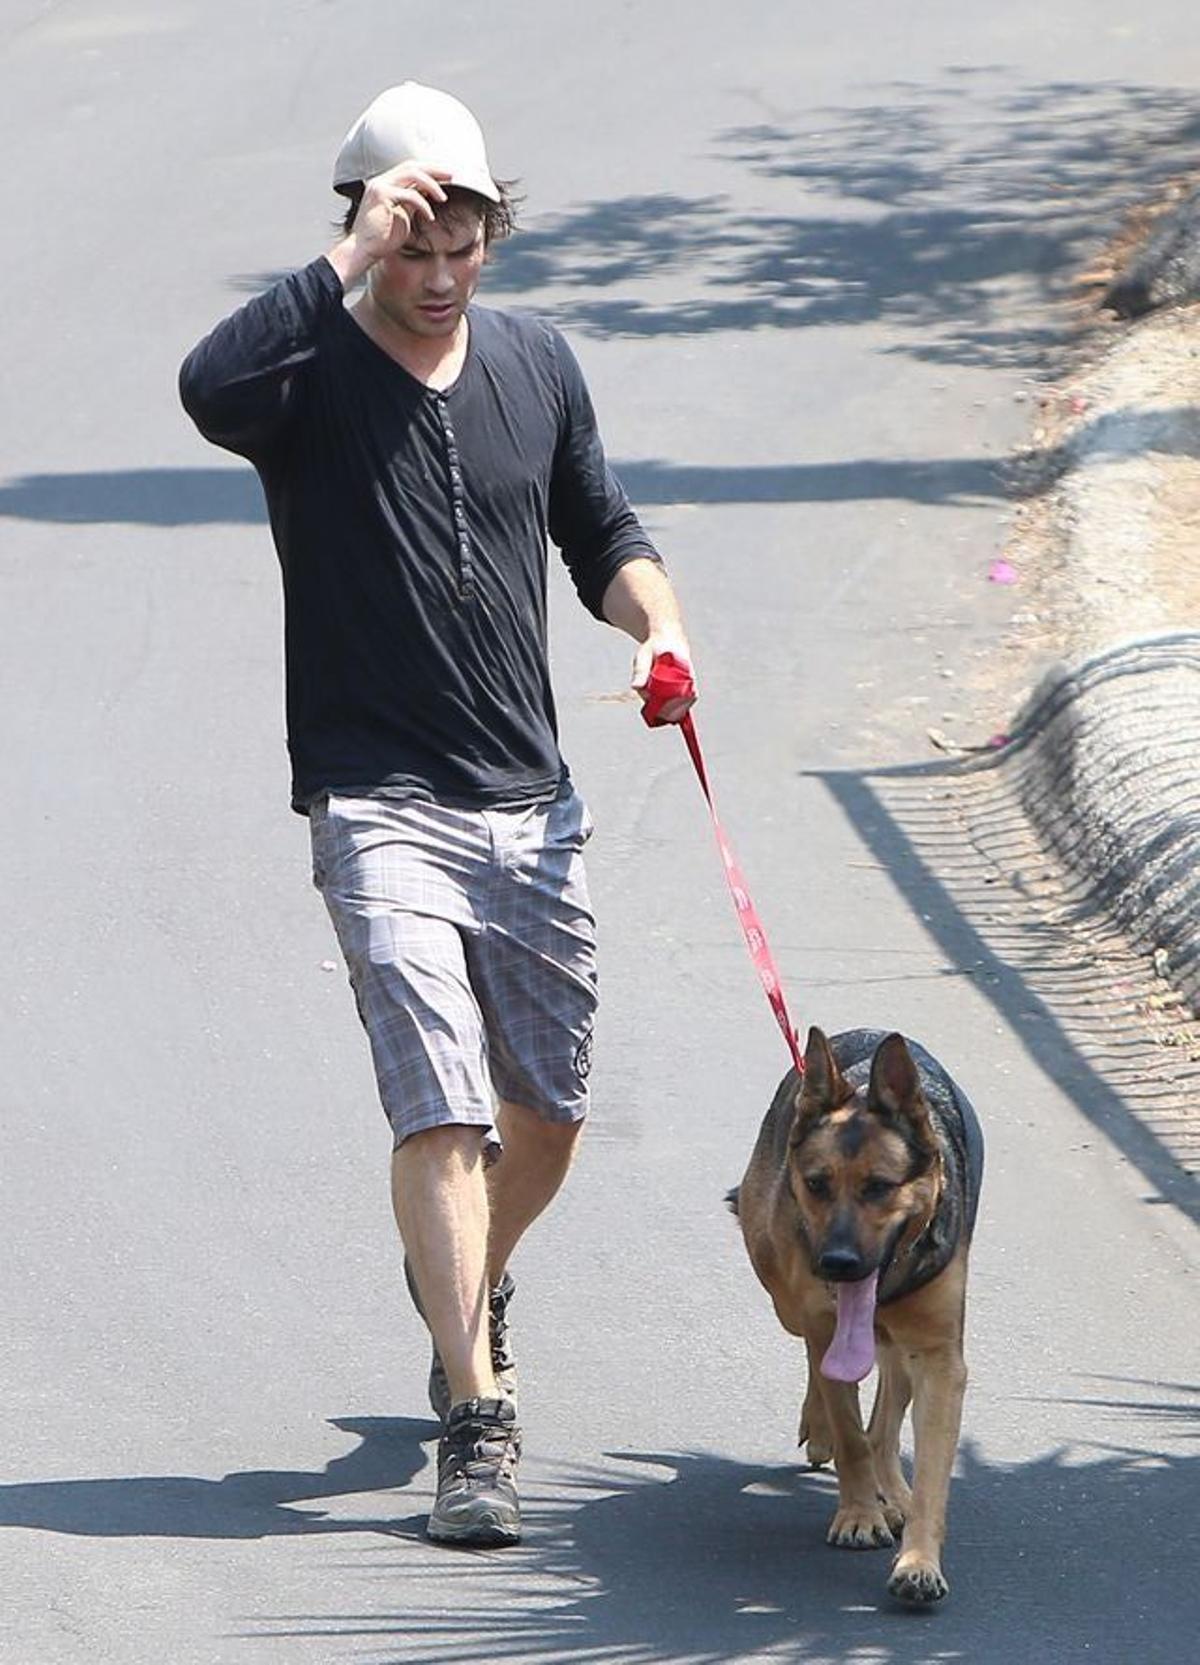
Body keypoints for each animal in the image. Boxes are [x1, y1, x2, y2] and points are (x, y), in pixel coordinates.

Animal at [728, 1018, 985, 1605]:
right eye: (817, 1184)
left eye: (880, 1187)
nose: (838, 1263)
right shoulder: (825, 1322)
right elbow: (849, 1432)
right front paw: (861, 1515)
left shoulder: (940, 1359)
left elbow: (929, 1470)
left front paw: (918, 1560)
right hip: (785, 1295)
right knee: (822, 1369)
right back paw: (827, 1435)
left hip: (900, 1344)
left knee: (887, 1410)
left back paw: (894, 1492)